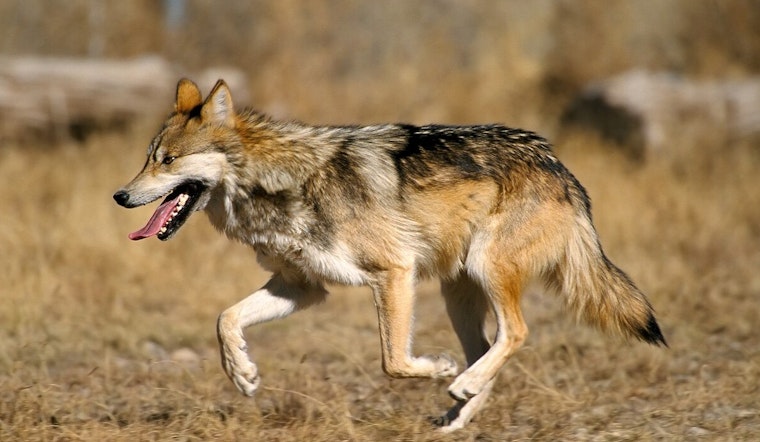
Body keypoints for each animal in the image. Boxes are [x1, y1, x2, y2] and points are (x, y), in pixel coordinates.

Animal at [113, 78, 666, 432]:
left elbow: (394, 362)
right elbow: (225, 319)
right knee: (488, 348)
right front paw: (243, 374)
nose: (119, 195)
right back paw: (458, 410)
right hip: (457, 294)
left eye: (168, 161)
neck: (279, 183)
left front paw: (437, 368)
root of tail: (559, 166)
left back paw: (459, 383)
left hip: (484, 270)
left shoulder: (393, 272)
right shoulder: (302, 287)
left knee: (515, 333)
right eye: (147, 159)